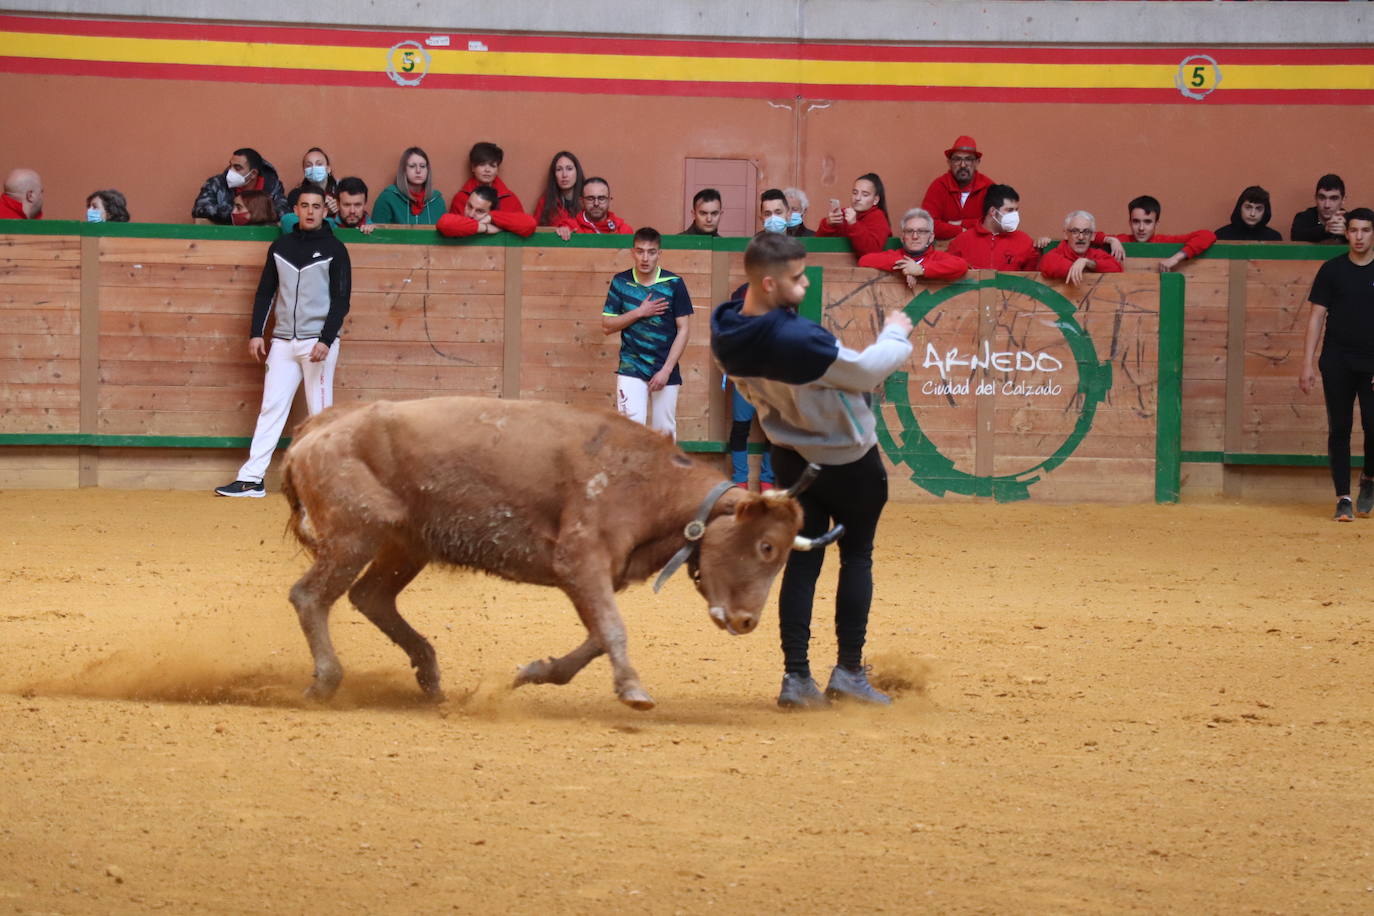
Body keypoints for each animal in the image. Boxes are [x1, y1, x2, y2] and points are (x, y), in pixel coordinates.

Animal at [273, 395, 818, 708]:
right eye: (766, 546)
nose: (747, 621)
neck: (648, 481)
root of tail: (315, 430)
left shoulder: (598, 577)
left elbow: (597, 636)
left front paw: (532, 673)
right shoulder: (580, 562)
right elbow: (612, 629)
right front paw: (633, 690)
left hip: (406, 544)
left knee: (371, 597)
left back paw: (428, 675)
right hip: (355, 536)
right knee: (309, 596)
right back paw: (326, 680)